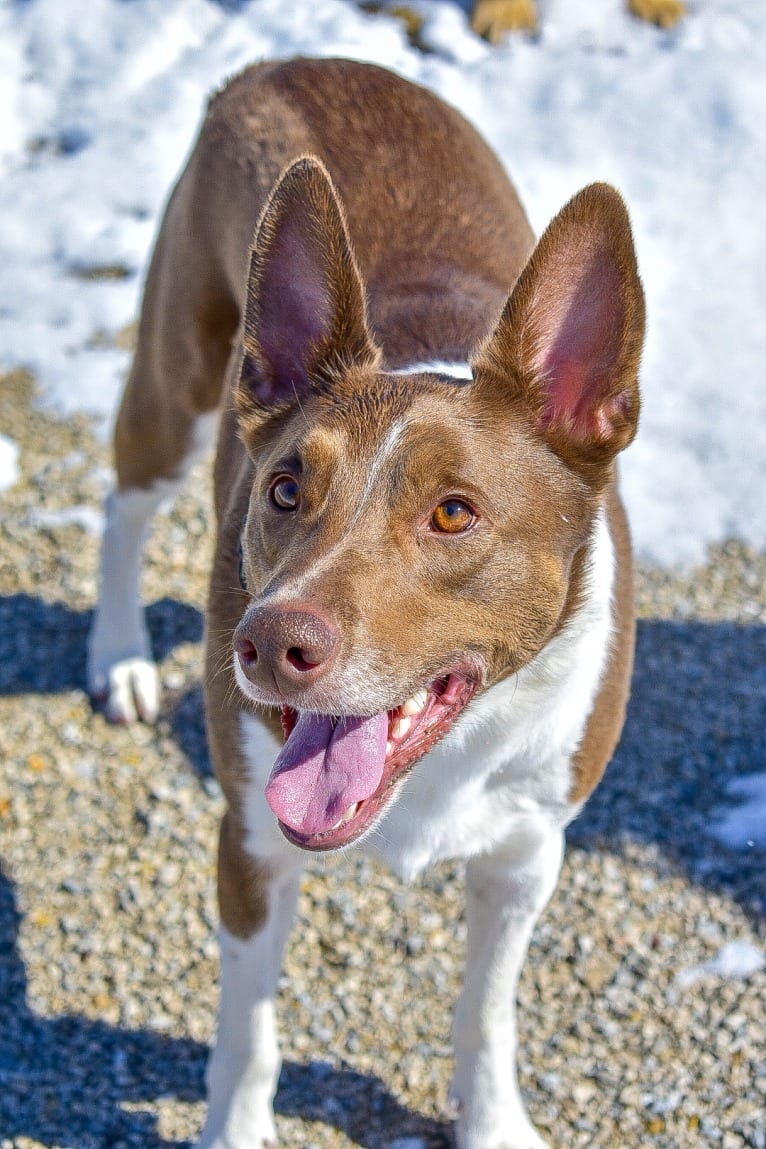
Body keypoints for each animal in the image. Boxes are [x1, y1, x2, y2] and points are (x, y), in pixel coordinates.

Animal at [86, 56, 643, 1149]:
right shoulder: (250, 843)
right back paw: (120, 656)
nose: (266, 645)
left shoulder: (526, 852)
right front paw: (233, 1129)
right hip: (178, 383)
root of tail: (279, 62)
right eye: (283, 490)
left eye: (454, 513)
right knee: (124, 501)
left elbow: (488, 1010)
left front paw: (491, 1120)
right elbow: (247, 1035)